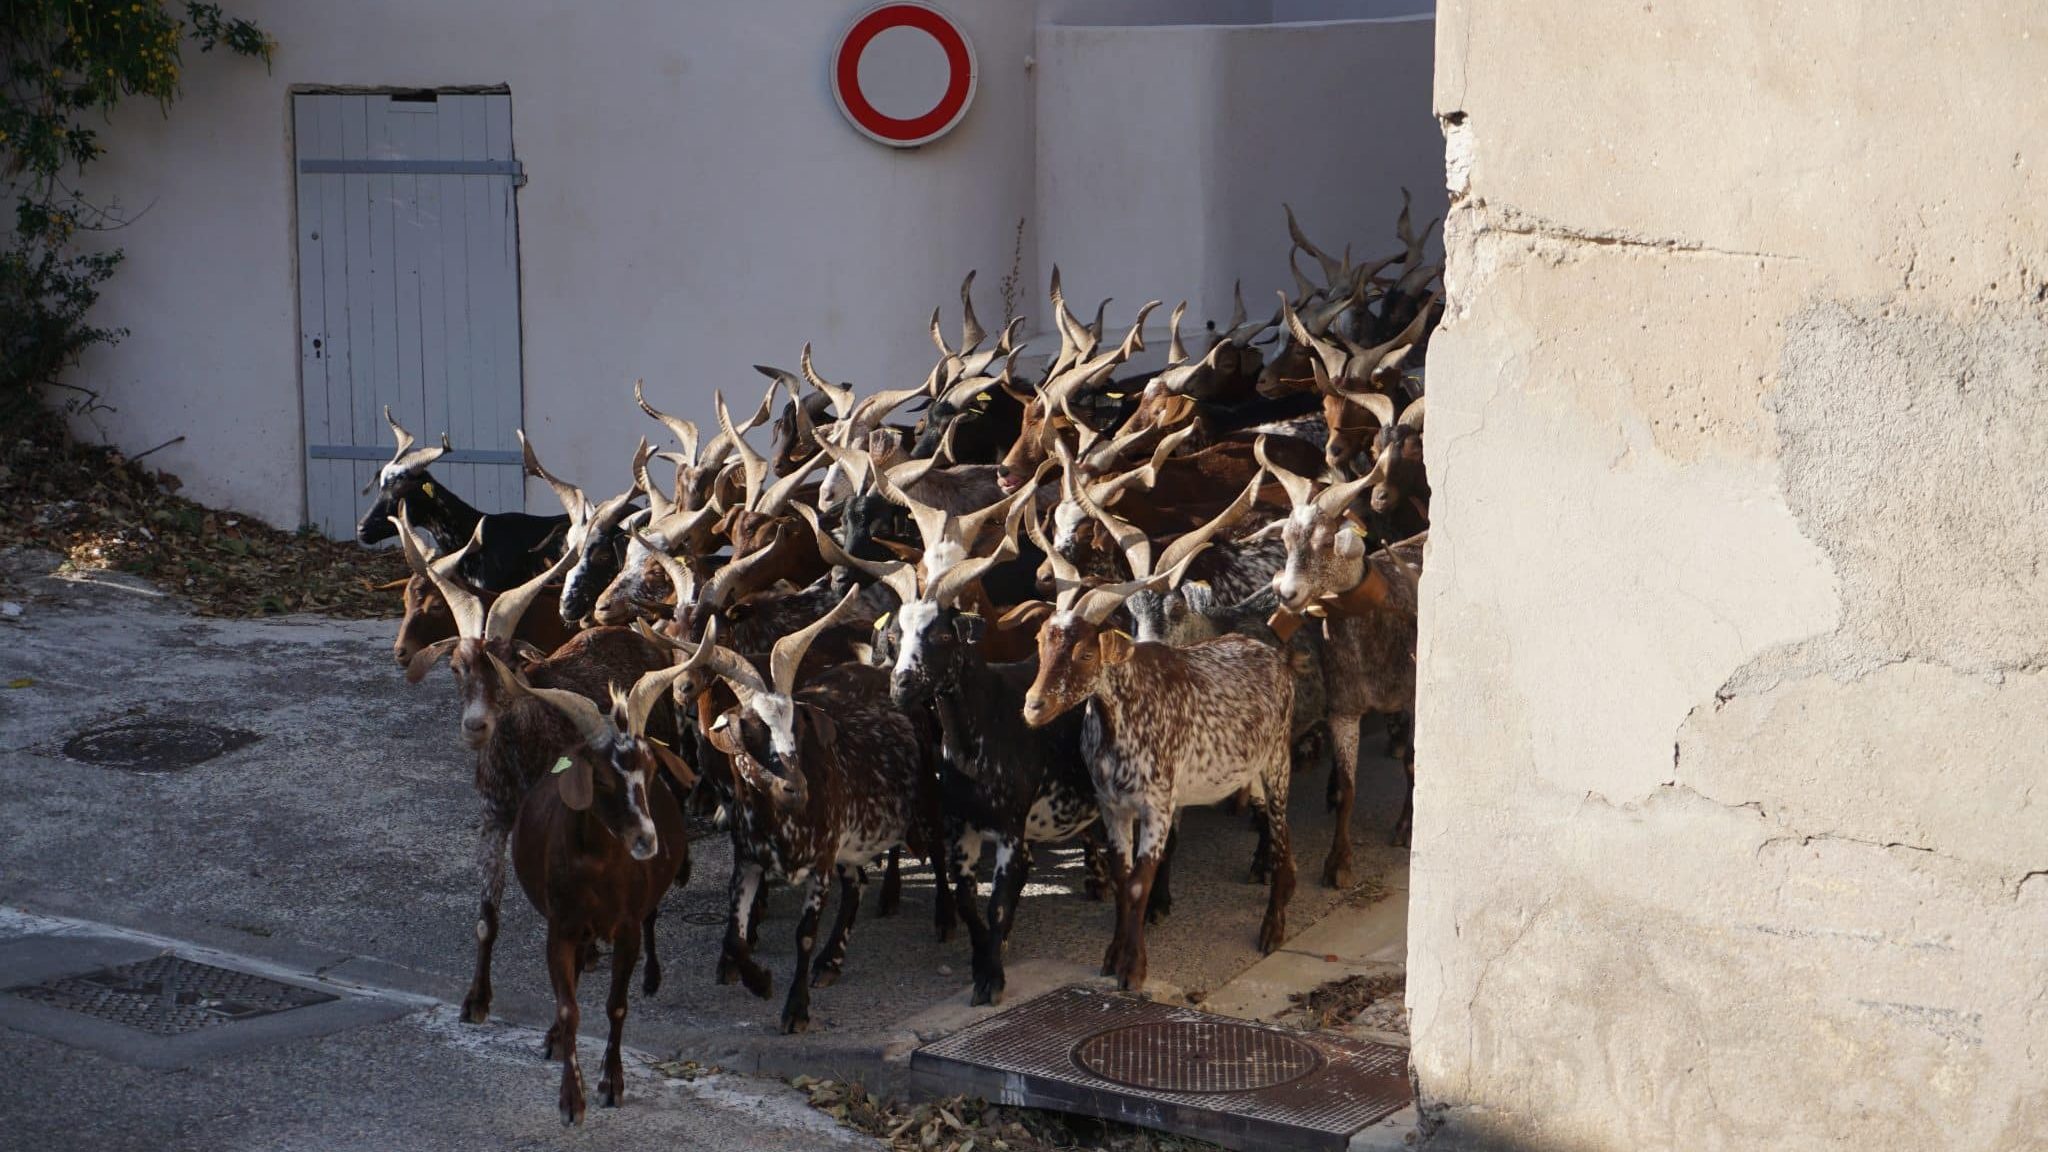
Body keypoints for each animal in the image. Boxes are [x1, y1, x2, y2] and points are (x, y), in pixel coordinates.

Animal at [495, 655, 696, 1123]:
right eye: (600, 778)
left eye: (651, 771)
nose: (646, 840)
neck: (601, 872)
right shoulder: (561, 927)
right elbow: (569, 1007)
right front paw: (572, 1099)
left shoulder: (627, 929)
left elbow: (616, 1005)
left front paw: (611, 1084)